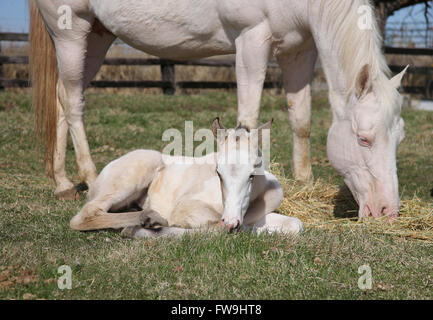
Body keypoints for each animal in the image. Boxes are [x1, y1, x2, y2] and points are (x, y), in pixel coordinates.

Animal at [30, 0, 404, 220]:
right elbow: (248, 119)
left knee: (64, 96)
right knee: (72, 101)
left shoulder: (299, 51)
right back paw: (87, 177)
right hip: (71, 32)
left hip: (96, 36)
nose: (387, 210)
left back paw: (63, 182)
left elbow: (301, 120)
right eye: (364, 138)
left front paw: (304, 183)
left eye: (398, 139)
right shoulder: (252, 41)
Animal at [70, 119, 300, 239]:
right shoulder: (186, 207)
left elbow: (295, 224)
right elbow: (211, 228)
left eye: (252, 174)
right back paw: (148, 220)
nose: (230, 222)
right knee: (85, 215)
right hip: (138, 170)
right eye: (218, 172)